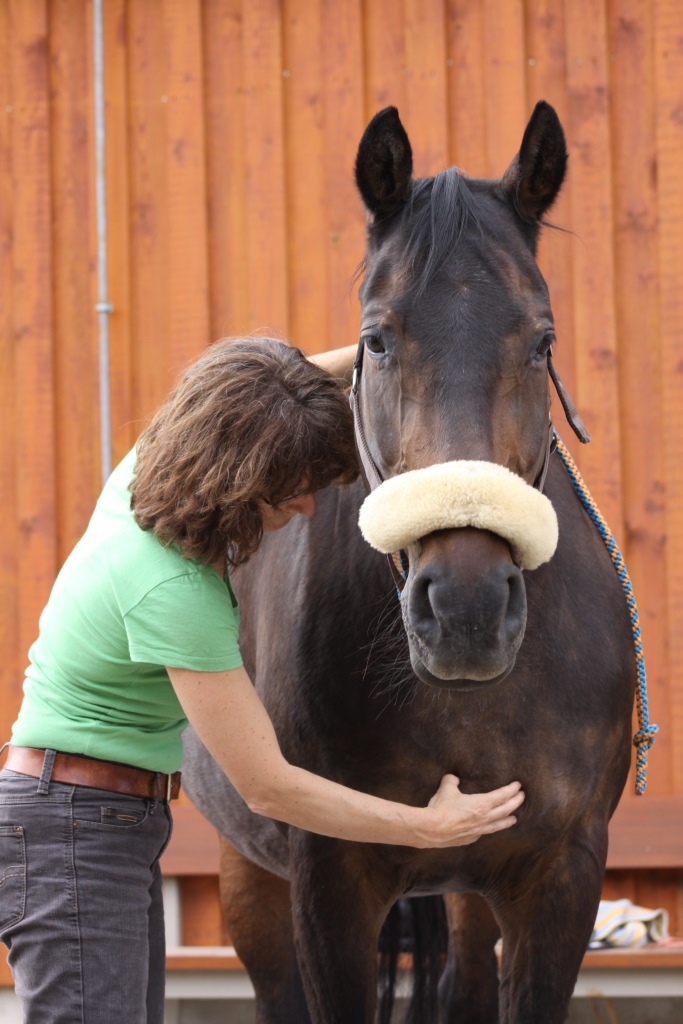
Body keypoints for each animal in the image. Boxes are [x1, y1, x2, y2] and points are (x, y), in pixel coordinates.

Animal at [183, 103, 634, 1024]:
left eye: (542, 343)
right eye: (377, 340)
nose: (464, 611)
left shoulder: (562, 873)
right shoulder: (329, 881)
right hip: (249, 873)